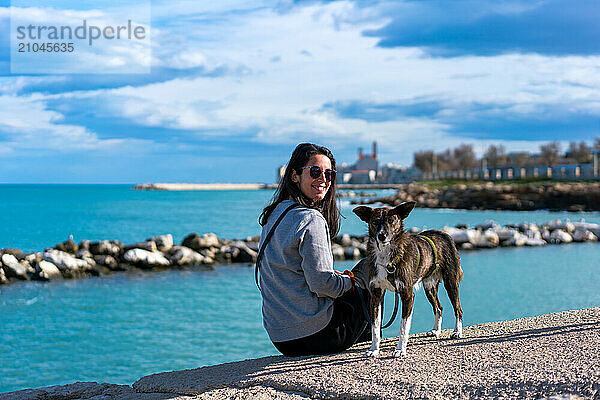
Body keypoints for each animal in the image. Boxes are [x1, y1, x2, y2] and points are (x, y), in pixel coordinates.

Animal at [354, 202, 466, 358]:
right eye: (375, 221)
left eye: (391, 220)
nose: (381, 236)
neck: (385, 254)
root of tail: (445, 234)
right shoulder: (376, 295)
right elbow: (375, 327)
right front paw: (374, 350)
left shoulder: (407, 294)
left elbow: (403, 327)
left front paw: (400, 349)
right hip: (429, 287)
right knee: (439, 307)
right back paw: (436, 330)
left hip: (451, 282)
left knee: (458, 309)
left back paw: (457, 332)